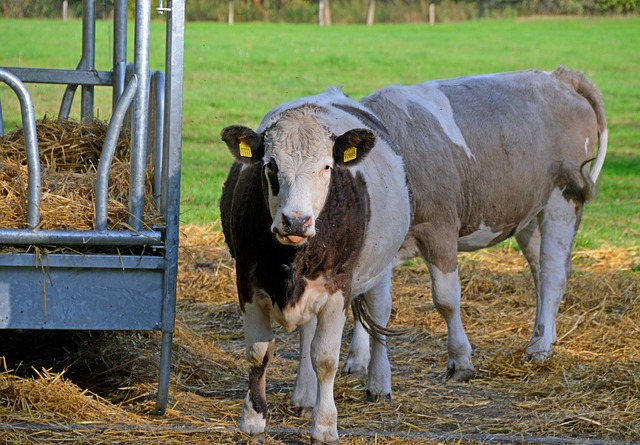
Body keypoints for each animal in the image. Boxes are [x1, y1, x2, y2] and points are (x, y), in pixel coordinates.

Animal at [219, 88, 410, 442]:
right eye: (270, 166)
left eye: (326, 167)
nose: (296, 220)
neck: (292, 260)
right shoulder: (247, 283)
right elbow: (258, 352)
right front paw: (253, 418)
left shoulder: (338, 289)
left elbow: (325, 358)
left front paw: (324, 425)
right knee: (307, 335)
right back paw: (305, 395)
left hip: (380, 270)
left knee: (378, 317)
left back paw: (379, 384)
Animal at [342, 65, 608, 382]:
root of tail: (559, 75)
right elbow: (365, 302)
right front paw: (357, 360)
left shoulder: (439, 228)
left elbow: (446, 299)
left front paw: (460, 360)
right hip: (528, 211)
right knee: (542, 271)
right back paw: (542, 336)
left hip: (563, 198)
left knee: (553, 272)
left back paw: (539, 349)